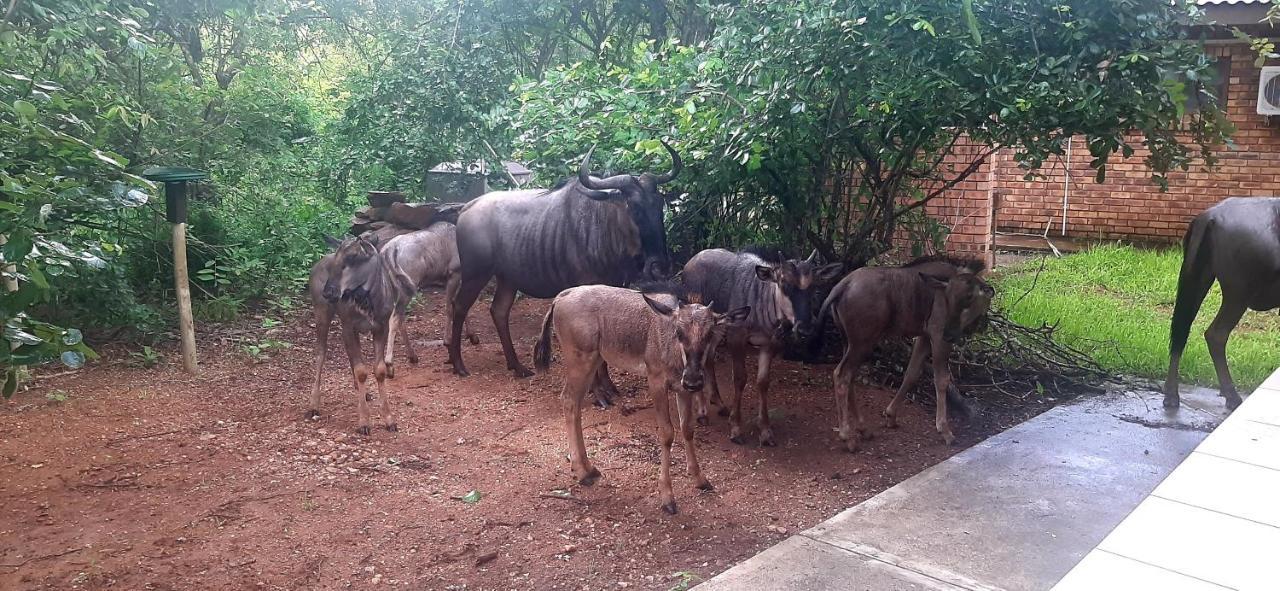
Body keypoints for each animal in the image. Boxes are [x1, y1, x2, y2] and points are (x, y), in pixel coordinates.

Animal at [305, 235, 414, 434]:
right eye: (337, 259)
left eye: (353, 258)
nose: (329, 291)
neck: (369, 301)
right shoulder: (349, 326)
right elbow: (361, 370)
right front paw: (364, 421)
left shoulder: (380, 327)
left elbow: (378, 370)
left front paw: (389, 419)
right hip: (321, 313)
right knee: (320, 354)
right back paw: (313, 405)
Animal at [532, 283, 747, 514]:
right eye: (679, 332)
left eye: (709, 334)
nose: (694, 380)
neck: (672, 351)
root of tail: (560, 297)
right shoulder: (656, 382)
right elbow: (667, 433)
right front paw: (667, 497)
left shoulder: (681, 389)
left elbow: (687, 428)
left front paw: (700, 479)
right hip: (580, 360)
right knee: (569, 400)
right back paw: (583, 472)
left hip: (594, 360)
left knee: (575, 403)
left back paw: (587, 468)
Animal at [814, 254, 993, 452]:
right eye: (948, 297)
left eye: (969, 297)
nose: (951, 334)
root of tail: (842, 285)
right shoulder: (938, 338)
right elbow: (942, 380)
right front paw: (944, 430)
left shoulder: (923, 338)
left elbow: (911, 374)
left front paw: (891, 416)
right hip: (862, 344)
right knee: (841, 375)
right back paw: (848, 436)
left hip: (850, 344)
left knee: (849, 377)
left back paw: (863, 428)